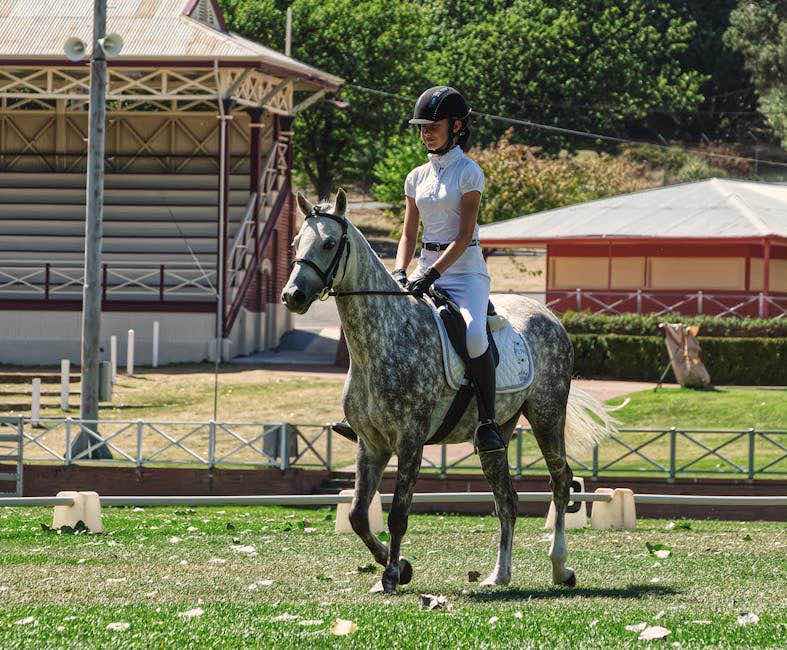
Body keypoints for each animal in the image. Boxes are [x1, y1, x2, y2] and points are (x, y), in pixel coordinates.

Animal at [281, 188, 615, 594]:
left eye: (329, 243)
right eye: (296, 243)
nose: (293, 296)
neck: (383, 338)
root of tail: (548, 315)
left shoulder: (410, 439)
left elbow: (398, 513)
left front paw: (391, 576)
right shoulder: (370, 442)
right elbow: (359, 514)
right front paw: (400, 566)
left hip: (547, 415)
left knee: (561, 482)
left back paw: (560, 567)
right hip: (495, 434)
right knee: (507, 499)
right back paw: (499, 574)